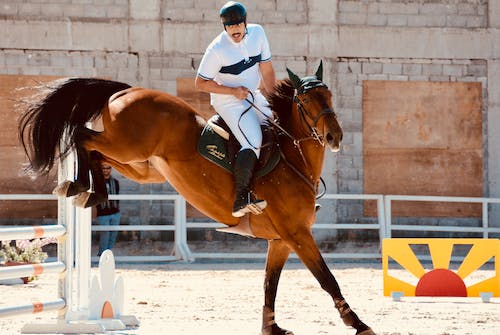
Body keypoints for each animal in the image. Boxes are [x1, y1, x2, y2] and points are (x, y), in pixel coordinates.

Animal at [18, 61, 372, 334]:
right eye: (305, 101)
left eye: (329, 95)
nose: (334, 137)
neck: (292, 158)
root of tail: (127, 91)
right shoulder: (298, 234)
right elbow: (328, 280)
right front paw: (358, 324)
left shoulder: (280, 240)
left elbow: (269, 285)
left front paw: (271, 327)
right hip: (128, 146)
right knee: (81, 136)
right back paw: (76, 186)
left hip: (140, 164)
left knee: (97, 153)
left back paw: (86, 190)